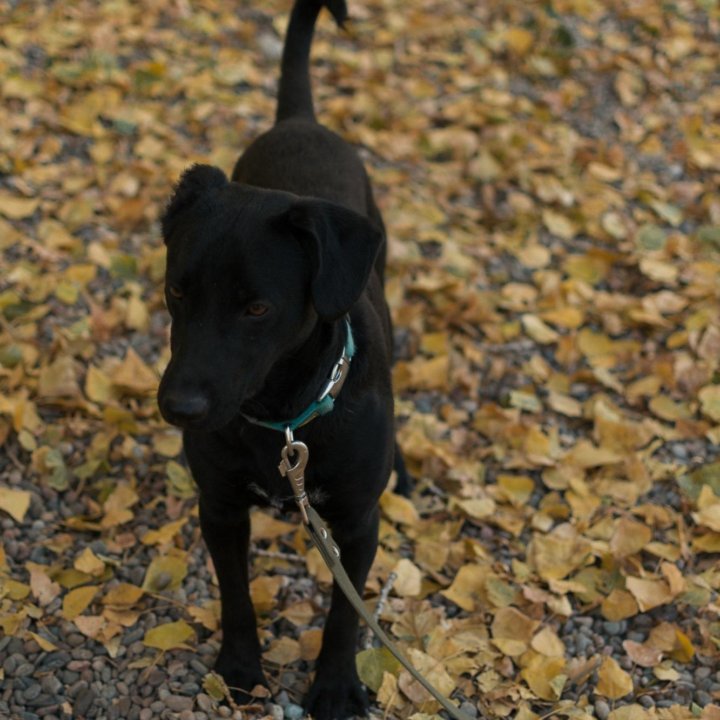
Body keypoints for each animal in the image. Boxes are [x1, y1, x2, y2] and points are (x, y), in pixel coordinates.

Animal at [160, 1, 410, 720]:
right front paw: (241, 669)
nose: (177, 408)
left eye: (257, 308)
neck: (283, 417)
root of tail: (299, 119)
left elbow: (345, 614)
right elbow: (236, 597)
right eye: (177, 291)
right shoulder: (219, 507)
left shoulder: (357, 522)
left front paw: (335, 687)